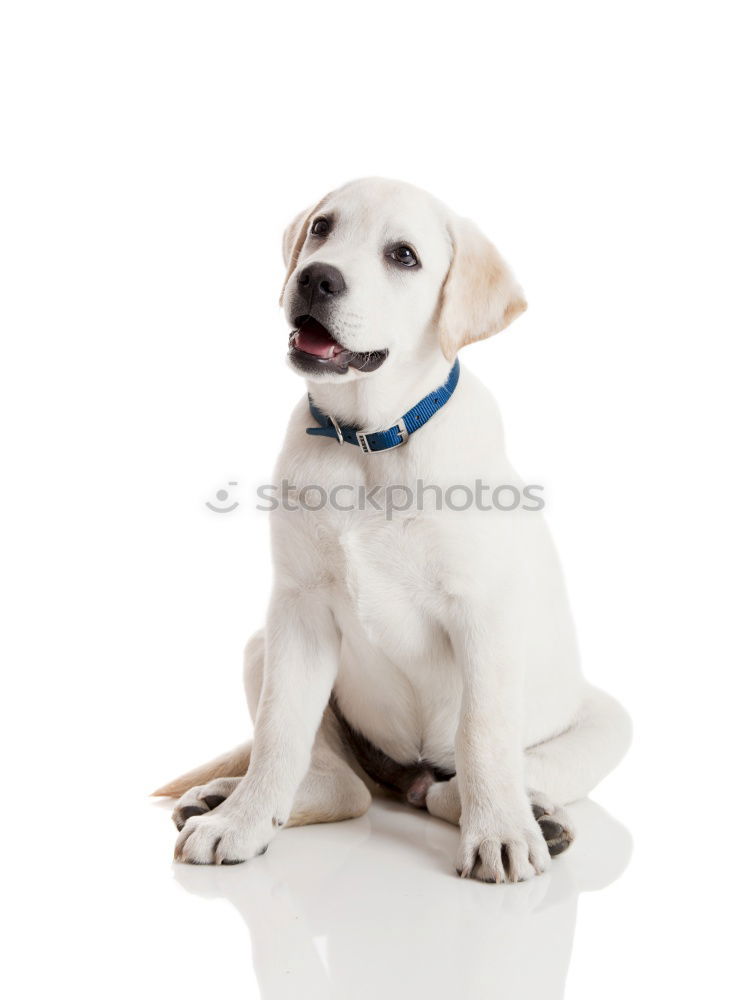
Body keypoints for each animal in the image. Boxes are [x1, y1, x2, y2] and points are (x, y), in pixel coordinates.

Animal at [156, 180, 632, 884]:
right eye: (321, 228)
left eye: (403, 256)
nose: (316, 277)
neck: (370, 441)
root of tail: (403, 777)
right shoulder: (297, 610)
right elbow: (278, 733)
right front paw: (241, 823)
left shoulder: (485, 614)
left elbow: (484, 735)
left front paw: (499, 834)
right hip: (261, 646)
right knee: (344, 785)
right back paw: (224, 800)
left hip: (607, 720)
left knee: (457, 786)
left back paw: (533, 815)